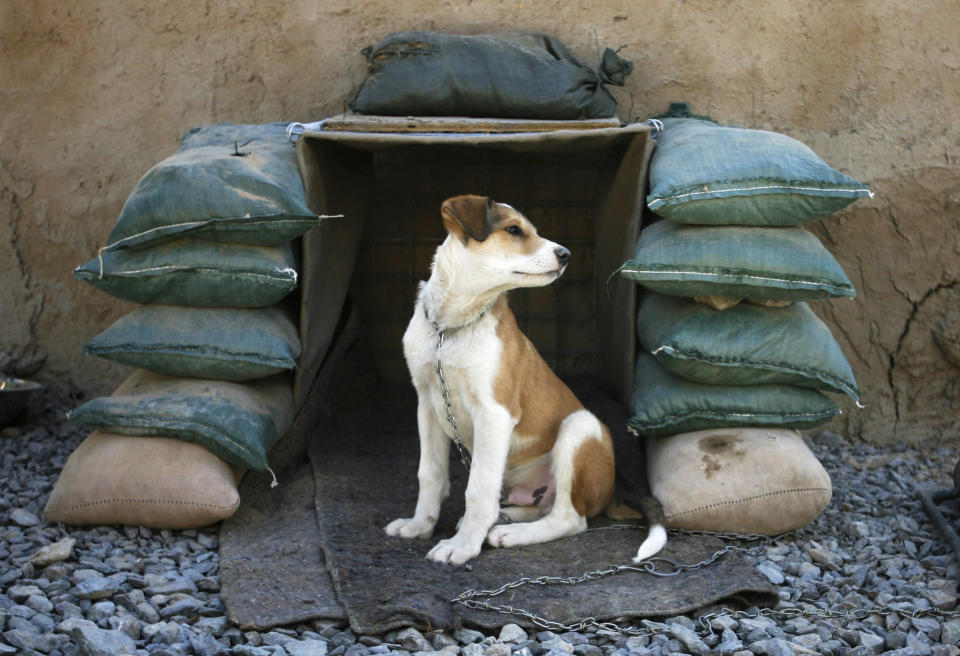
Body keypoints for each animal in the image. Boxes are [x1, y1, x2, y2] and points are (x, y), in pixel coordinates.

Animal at [384, 193, 668, 564]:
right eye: (514, 230)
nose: (566, 254)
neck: (450, 328)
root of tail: (610, 496)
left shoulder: (494, 412)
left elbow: (478, 488)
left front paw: (463, 546)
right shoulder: (427, 403)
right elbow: (430, 474)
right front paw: (420, 526)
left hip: (581, 426)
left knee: (569, 518)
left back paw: (509, 532)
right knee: (538, 506)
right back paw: (504, 518)